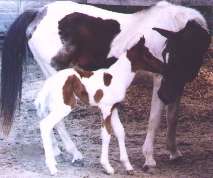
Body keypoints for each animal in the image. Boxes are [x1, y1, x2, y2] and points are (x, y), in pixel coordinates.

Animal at [35, 36, 165, 175]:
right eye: (148, 55)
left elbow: (120, 131)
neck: (117, 77)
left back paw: (55, 161)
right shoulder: (105, 109)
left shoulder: (114, 108)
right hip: (65, 106)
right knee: (46, 125)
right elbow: (106, 134)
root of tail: (49, 82)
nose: (163, 67)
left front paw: (128, 166)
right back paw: (52, 167)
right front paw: (107, 167)